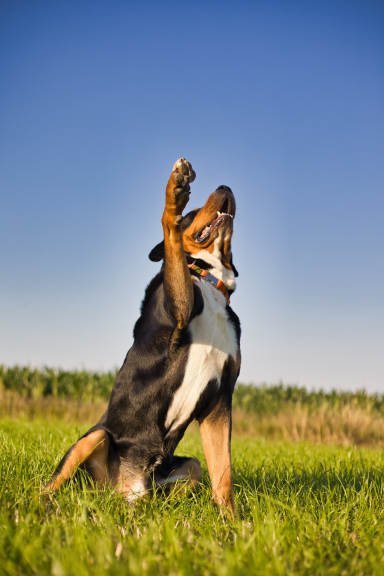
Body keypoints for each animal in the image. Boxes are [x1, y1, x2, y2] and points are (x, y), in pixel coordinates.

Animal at [45, 159, 240, 516]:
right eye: (193, 212)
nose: (225, 187)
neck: (209, 280)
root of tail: (121, 490)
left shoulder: (219, 398)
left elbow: (224, 475)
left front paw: (231, 523)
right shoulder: (178, 306)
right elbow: (171, 238)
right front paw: (174, 193)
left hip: (187, 468)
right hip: (94, 437)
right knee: (49, 486)